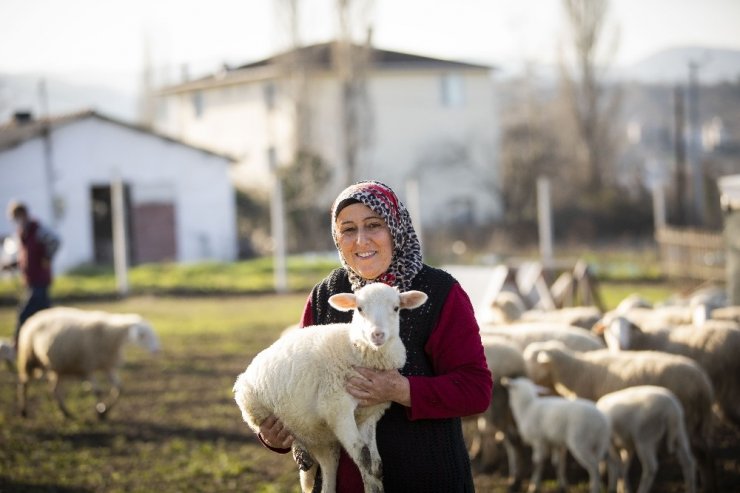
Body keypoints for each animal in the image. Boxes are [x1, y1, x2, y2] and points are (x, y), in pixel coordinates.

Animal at [16, 308, 160, 418]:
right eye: (143, 335)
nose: (157, 350)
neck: (110, 335)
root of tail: (36, 315)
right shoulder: (88, 366)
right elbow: (97, 392)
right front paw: (100, 411)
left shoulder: (107, 366)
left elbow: (119, 388)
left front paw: (105, 411)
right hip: (28, 358)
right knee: (24, 384)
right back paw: (23, 411)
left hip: (58, 367)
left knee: (54, 389)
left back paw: (65, 412)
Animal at [231, 282, 428, 492]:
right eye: (359, 309)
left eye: (396, 308)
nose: (377, 334)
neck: (355, 349)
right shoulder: (337, 408)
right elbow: (364, 457)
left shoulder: (368, 415)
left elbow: (375, 467)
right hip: (263, 413)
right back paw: (302, 455)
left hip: (323, 439)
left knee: (327, 469)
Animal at [520, 340, 716, 492]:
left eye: (534, 360)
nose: (523, 376)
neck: (577, 369)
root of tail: (703, 383)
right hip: (687, 425)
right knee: (695, 456)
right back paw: (703, 484)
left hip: (673, 426)